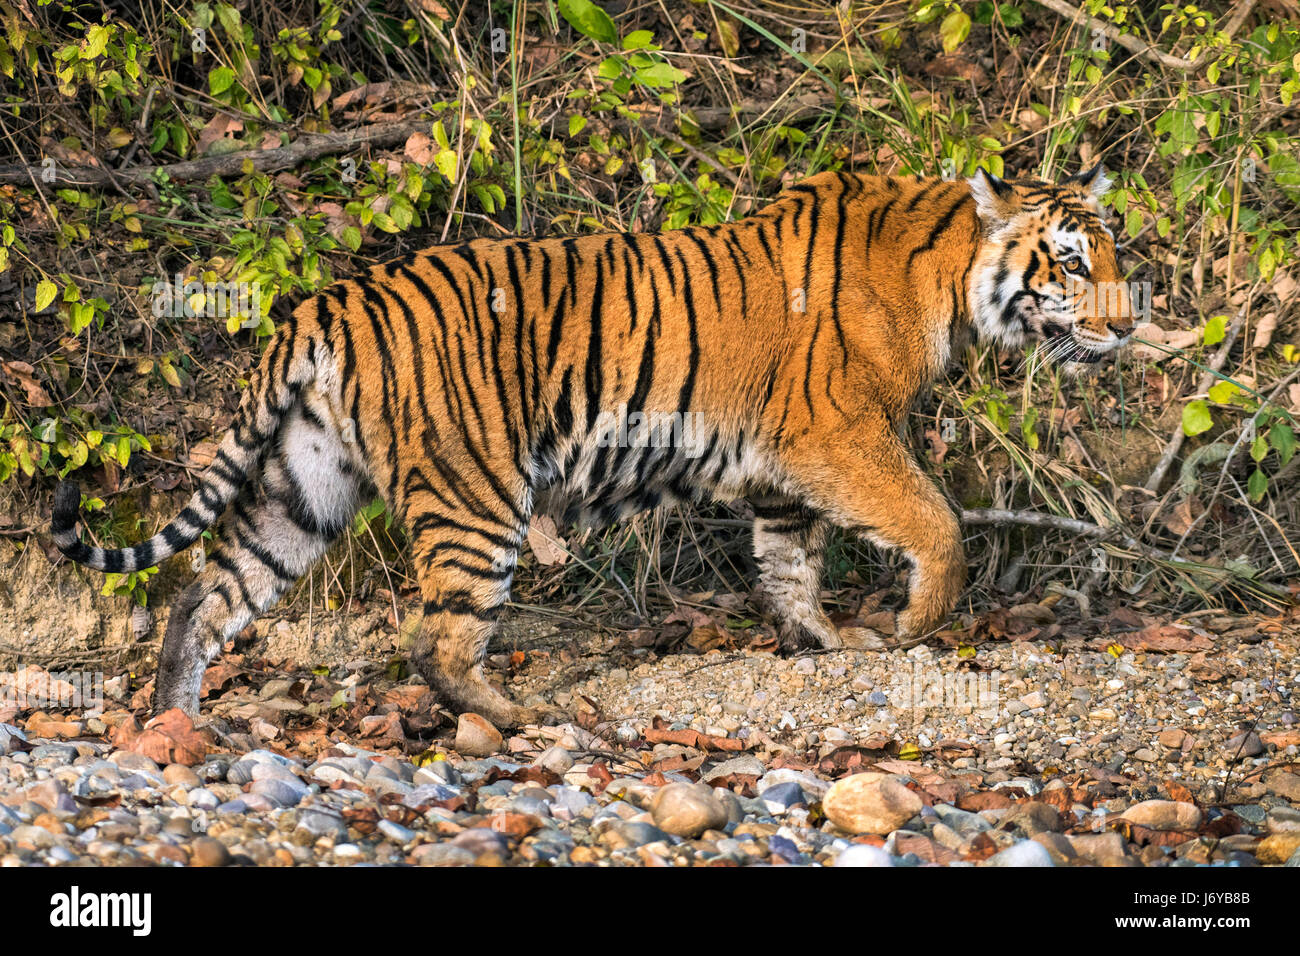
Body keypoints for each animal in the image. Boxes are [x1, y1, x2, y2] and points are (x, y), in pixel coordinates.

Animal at [48, 167, 1128, 728]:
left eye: (1116, 254)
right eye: (1072, 263)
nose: (1124, 327)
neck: (947, 276)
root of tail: (327, 302)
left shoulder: (786, 466)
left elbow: (788, 562)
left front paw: (821, 641)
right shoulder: (840, 431)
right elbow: (934, 518)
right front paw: (914, 621)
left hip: (304, 488)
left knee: (203, 594)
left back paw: (175, 718)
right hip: (476, 493)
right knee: (437, 637)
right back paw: (523, 720)